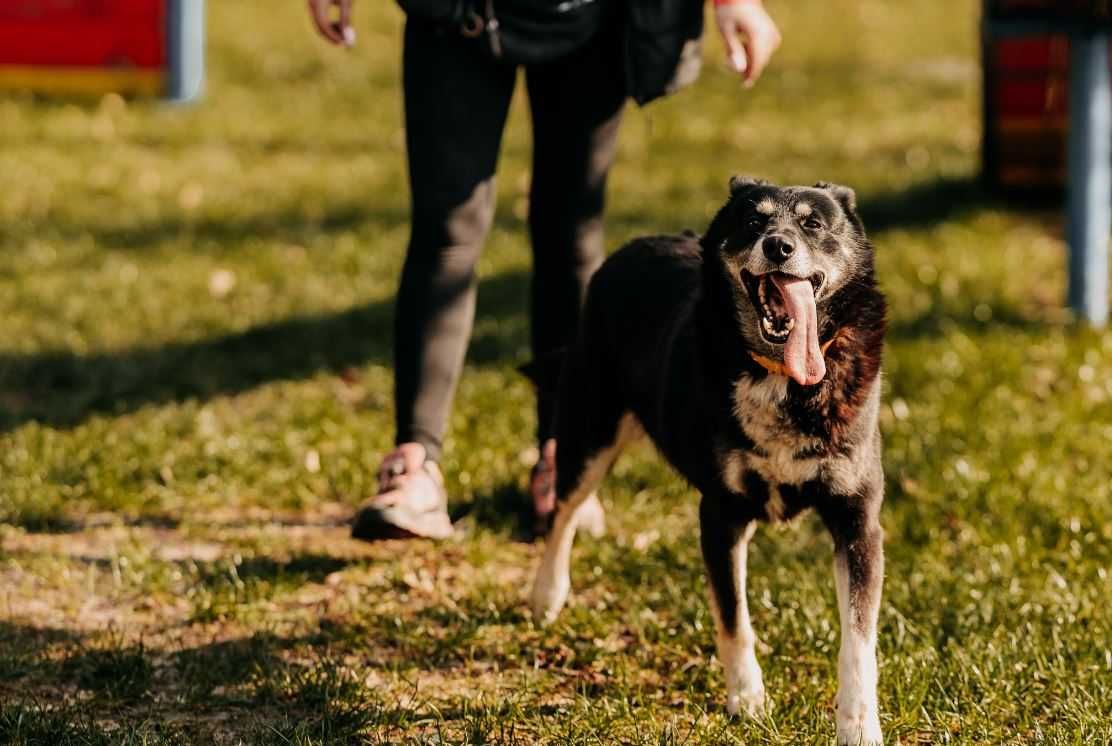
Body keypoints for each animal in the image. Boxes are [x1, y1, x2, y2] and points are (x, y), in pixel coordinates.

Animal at [529, 177, 885, 742]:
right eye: (754, 221)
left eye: (812, 223)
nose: (778, 247)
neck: (780, 376)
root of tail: (634, 245)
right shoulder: (720, 514)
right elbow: (733, 618)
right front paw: (748, 701)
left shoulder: (857, 520)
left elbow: (858, 641)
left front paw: (858, 724)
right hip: (589, 431)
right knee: (564, 510)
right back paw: (547, 593)